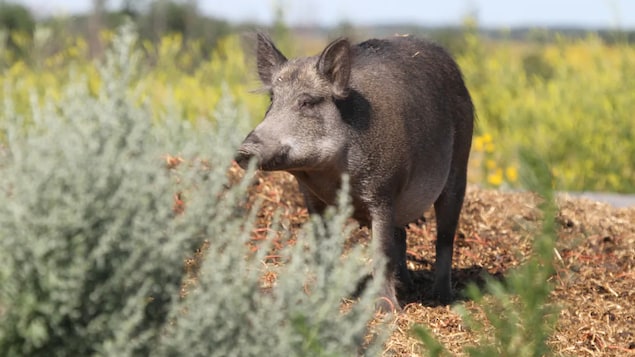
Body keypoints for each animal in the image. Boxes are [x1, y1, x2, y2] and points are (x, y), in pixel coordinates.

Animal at [236, 33, 474, 310]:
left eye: (306, 102)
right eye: (272, 100)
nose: (244, 149)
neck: (331, 176)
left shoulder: (383, 191)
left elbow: (381, 251)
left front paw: (386, 310)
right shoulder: (312, 199)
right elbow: (323, 248)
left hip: (459, 166)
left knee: (444, 237)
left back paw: (442, 297)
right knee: (402, 235)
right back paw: (406, 286)